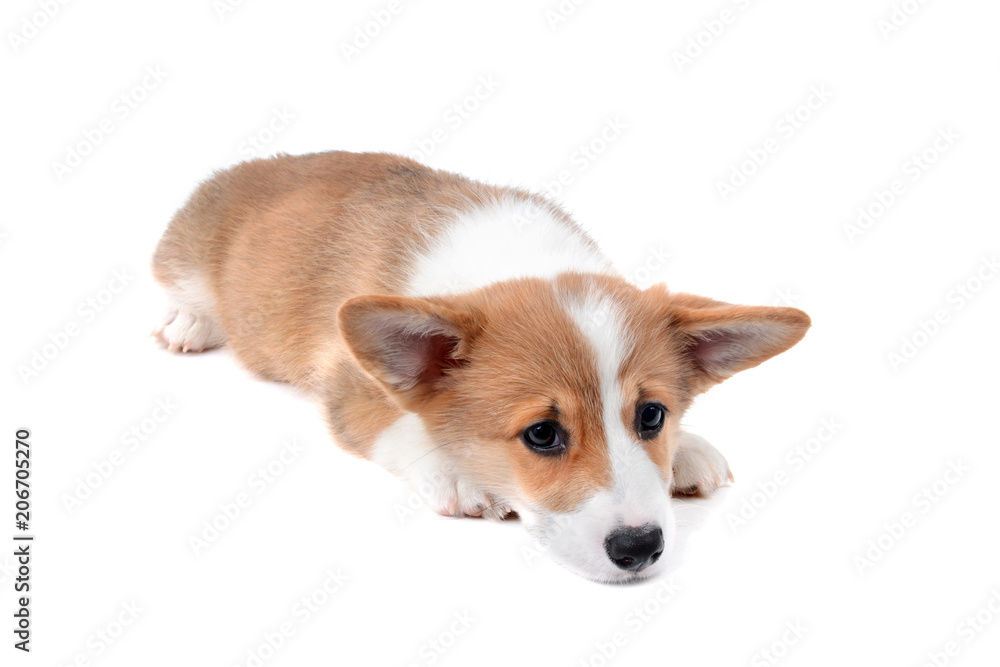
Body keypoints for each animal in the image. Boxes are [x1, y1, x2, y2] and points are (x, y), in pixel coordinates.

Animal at [154, 153, 812, 584]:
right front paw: (458, 474)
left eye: (652, 416)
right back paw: (188, 325)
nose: (641, 549)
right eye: (542, 435)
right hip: (183, 260)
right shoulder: (349, 388)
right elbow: (404, 425)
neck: (520, 261)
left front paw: (689, 448)